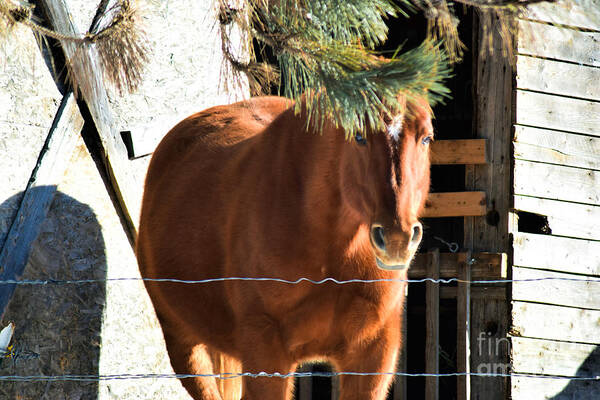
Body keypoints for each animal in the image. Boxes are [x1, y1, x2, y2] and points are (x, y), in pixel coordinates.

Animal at [135, 95, 432, 398]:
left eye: (426, 138)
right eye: (358, 136)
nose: (397, 238)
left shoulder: (372, 356)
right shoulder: (266, 354)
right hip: (184, 345)